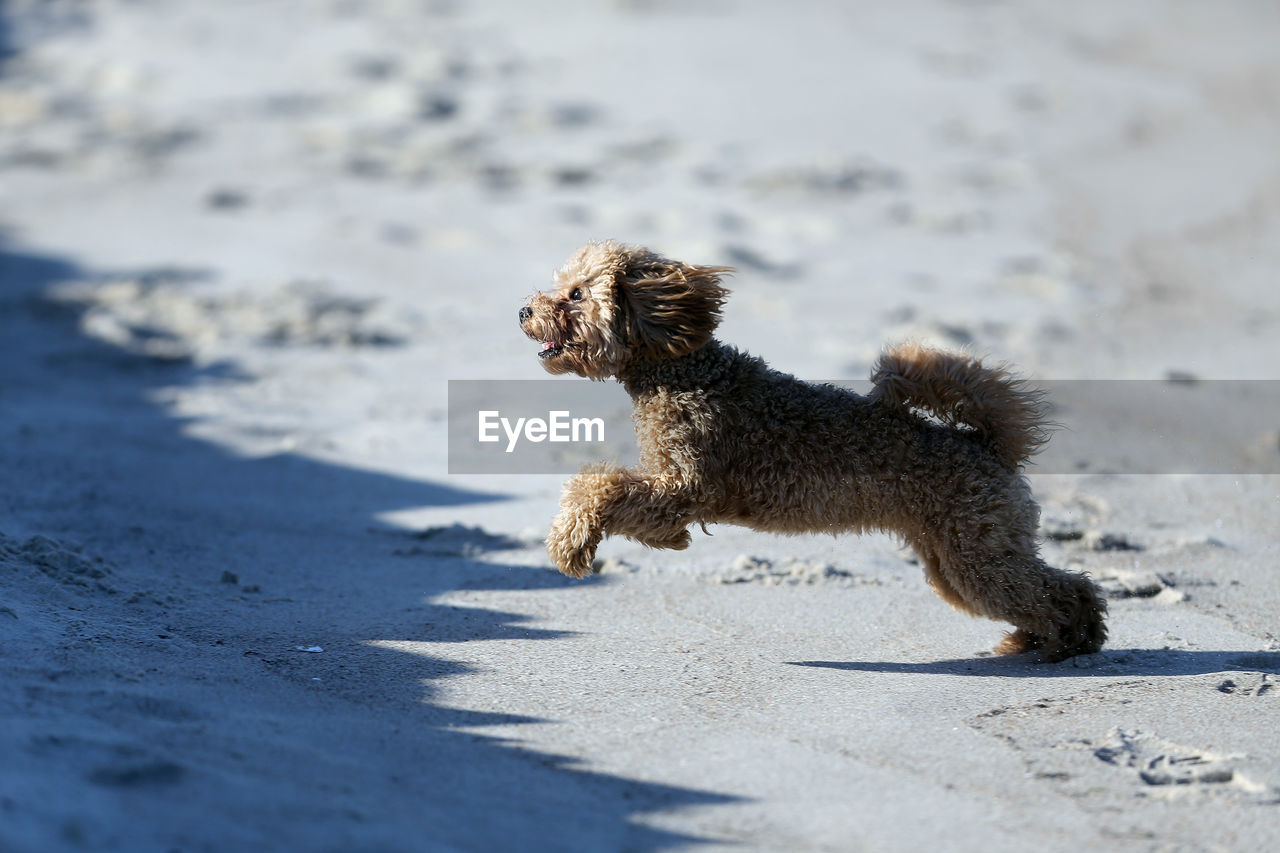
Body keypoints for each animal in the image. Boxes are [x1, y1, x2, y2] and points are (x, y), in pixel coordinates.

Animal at [514, 239, 1105, 655]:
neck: (682, 371)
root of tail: (989, 444)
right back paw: (1040, 642)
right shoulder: (673, 487)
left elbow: (600, 486)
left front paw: (570, 546)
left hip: (978, 553)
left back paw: (1065, 645)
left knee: (1061, 592)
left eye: (575, 294)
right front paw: (662, 541)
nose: (524, 311)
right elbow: (621, 497)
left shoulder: (688, 483)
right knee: (1055, 589)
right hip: (954, 558)